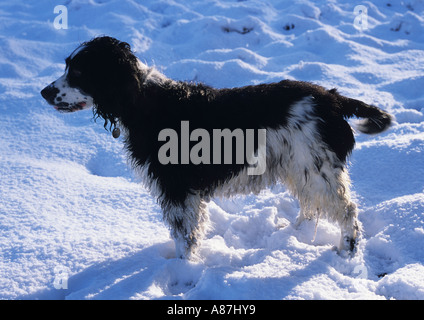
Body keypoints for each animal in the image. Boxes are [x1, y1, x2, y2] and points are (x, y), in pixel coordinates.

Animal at [41, 36, 392, 258]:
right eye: (67, 66)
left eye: (79, 72)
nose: (43, 92)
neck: (142, 99)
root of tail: (333, 98)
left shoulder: (178, 190)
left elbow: (185, 237)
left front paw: (184, 273)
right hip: (301, 168)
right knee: (312, 206)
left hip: (317, 169)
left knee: (347, 211)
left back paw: (347, 252)